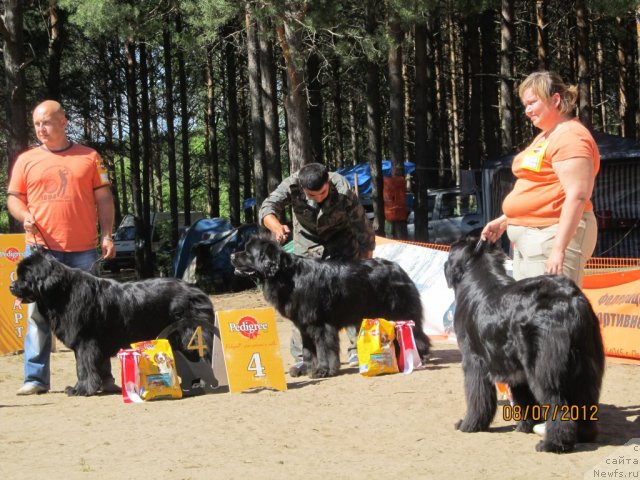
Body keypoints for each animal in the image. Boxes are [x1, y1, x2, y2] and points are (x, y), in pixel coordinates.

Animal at [10, 249, 216, 396]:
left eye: (25, 277)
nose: (11, 286)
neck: (62, 293)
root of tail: (197, 292)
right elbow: (82, 367)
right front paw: (80, 387)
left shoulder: (86, 342)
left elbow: (83, 367)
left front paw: (81, 390)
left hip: (190, 336)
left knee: (202, 357)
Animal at [230, 233, 430, 378]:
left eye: (248, 252)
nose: (231, 255)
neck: (287, 276)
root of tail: (398, 268)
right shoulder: (303, 324)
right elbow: (308, 350)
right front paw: (306, 369)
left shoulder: (320, 323)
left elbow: (323, 349)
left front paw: (323, 370)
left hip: (399, 312)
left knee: (417, 334)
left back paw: (417, 355)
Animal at [444, 240, 604, 454]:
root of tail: (571, 301)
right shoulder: (514, 368)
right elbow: (524, 399)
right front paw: (525, 426)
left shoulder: (474, 362)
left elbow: (476, 398)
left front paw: (468, 425)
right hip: (586, 363)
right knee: (586, 399)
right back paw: (585, 434)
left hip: (543, 369)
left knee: (556, 402)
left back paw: (553, 443)